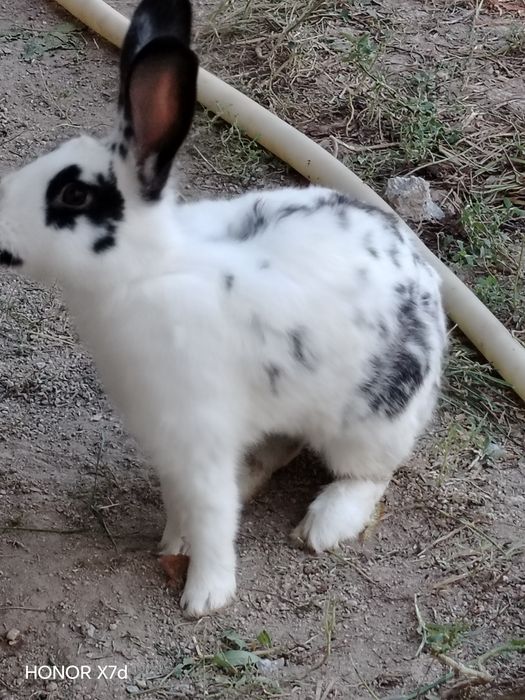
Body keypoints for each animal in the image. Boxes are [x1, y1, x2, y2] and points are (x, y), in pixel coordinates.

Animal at [0, 0, 447, 617]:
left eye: (73, 195)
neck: (149, 272)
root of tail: (430, 285)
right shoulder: (168, 438)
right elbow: (181, 500)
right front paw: (173, 543)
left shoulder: (198, 433)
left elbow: (212, 512)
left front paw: (205, 594)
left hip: (371, 421)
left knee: (368, 476)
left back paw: (323, 525)